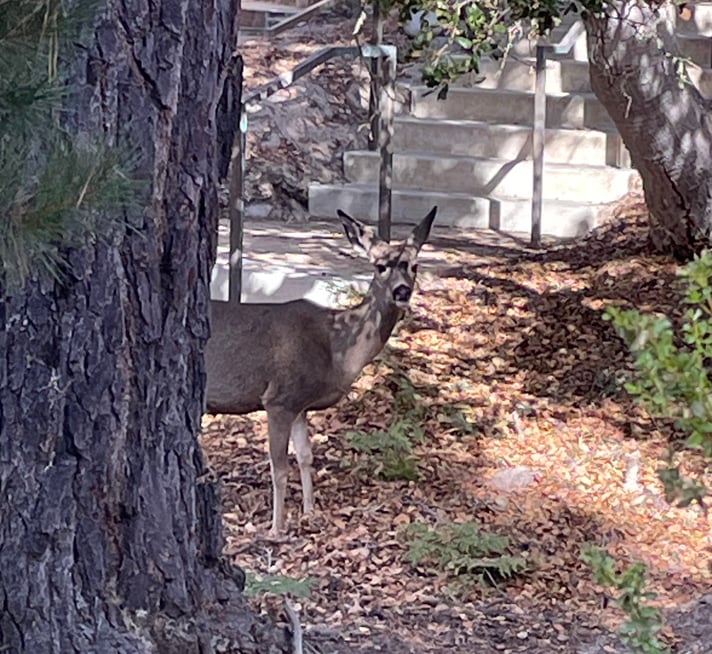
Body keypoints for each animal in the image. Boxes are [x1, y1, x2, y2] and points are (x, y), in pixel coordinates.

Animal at [206, 208, 436, 536]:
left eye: (414, 266)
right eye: (380, 267)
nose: (402, 291)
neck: (335, 347)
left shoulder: (301, 405)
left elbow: (305, 456)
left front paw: (310, 512)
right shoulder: (279, 398)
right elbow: (279, 467)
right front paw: (276, 528)